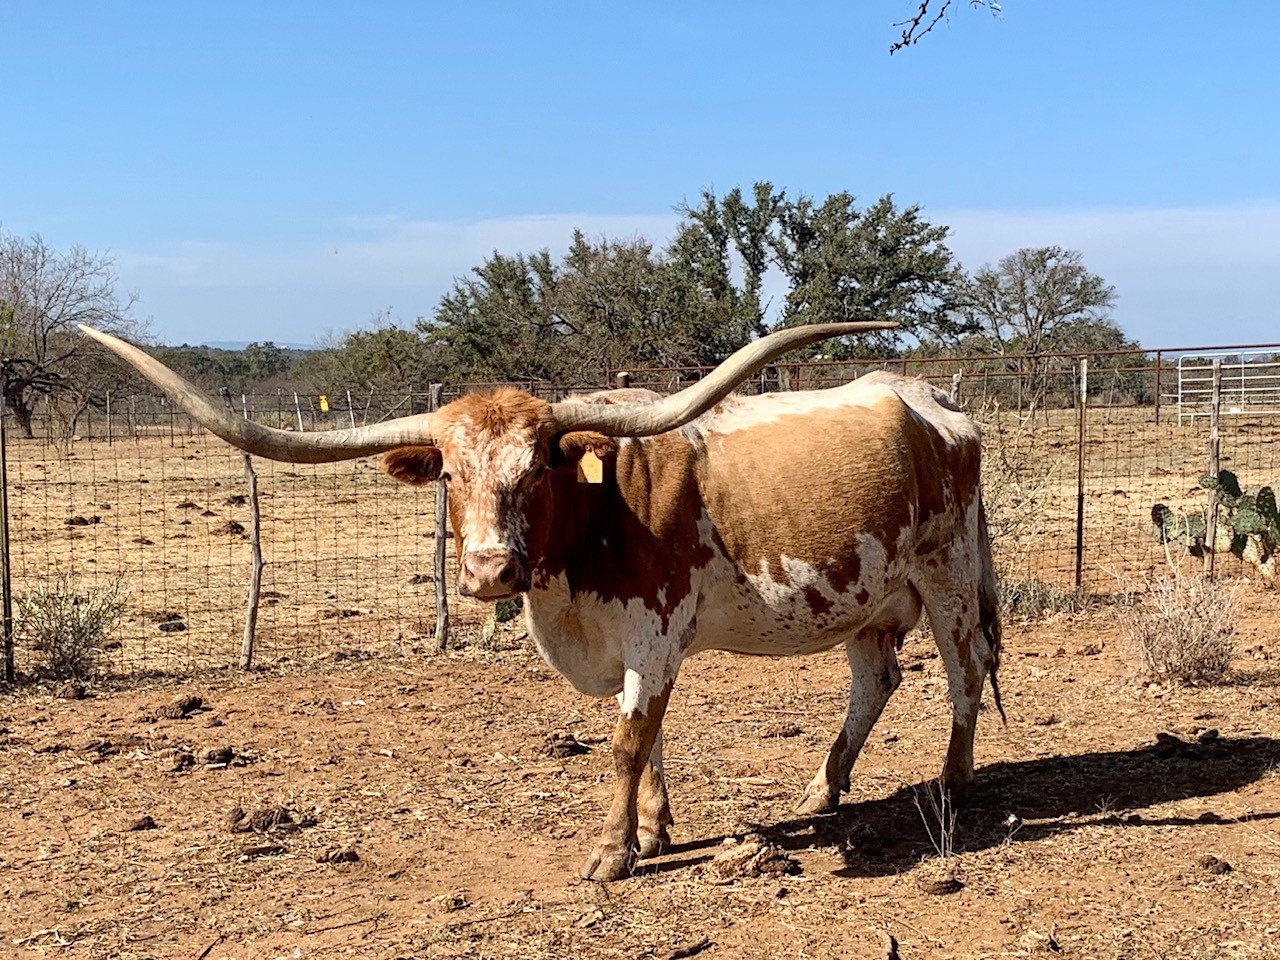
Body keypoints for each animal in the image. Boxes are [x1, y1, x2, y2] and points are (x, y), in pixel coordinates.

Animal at [81, 321, 1003, 882]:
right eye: (451, 475)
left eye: (534, 472)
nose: (490, 572)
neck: (598, 513)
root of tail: (932, 399)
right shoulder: (633, 648)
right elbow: (650, 741)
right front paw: (652, 833)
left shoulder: (655, 636)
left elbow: (628, 744)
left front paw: (610, 855)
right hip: (865, 596)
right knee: (875, 680)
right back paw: (821, 790)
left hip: (949, 574)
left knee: (964, 674)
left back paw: (953, 785)